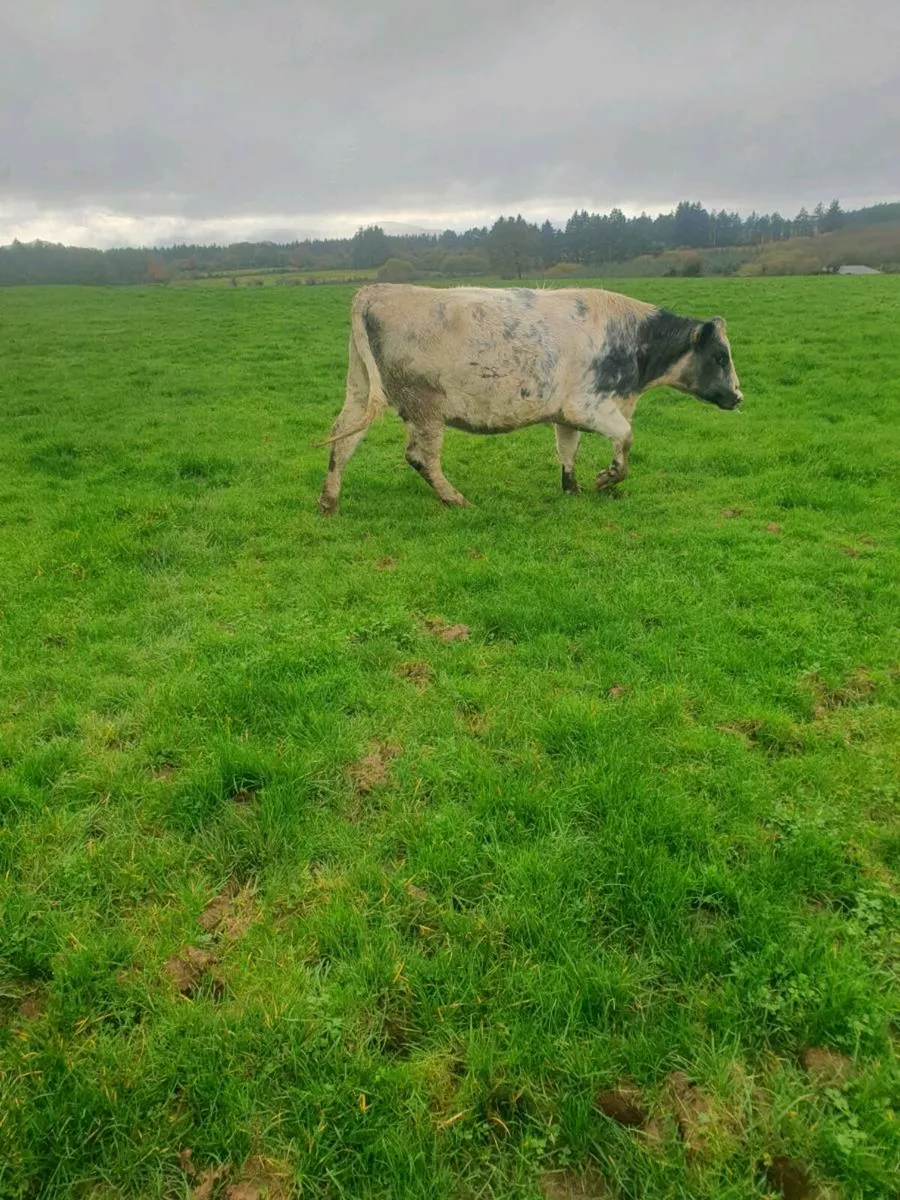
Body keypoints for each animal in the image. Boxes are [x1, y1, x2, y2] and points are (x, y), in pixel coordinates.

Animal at [318, 284, 742, 514]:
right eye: (720, 356)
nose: (738, 397)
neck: (631, 339)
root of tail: (377, 290)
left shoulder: (565, 414)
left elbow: (568, 450)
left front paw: (572, 489)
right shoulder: (589, 406)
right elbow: (625, 440)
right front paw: (606, 479)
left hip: (360, 391)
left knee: (343, 439)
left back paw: (329, 503)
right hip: (426, 408)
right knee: (420, 457)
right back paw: (456, 500)